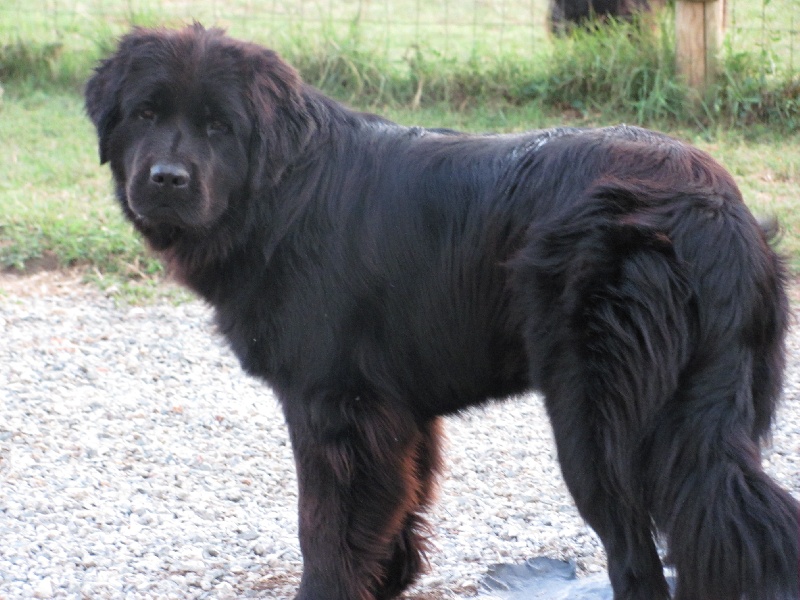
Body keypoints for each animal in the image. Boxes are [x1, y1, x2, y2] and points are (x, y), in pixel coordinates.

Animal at [84, 24, 796, 600]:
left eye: (219, 126)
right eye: (145, 113)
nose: (167, 178)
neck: (284, 192)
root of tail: (707, 207)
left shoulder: (332, 404)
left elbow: (324, 525)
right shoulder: (395, 411)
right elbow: (397, 504)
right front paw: (387, 580)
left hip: (596, 423)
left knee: (640, 558)